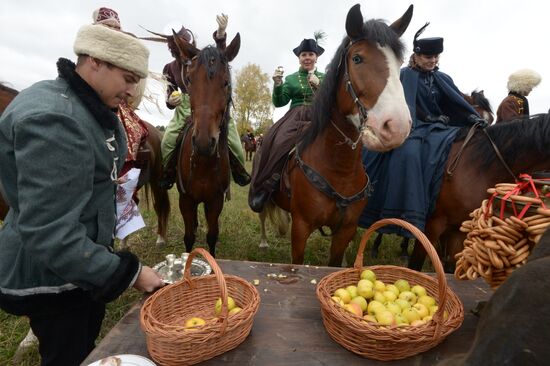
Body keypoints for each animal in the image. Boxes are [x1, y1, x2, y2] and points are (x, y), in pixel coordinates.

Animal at [172, 31, 242, 256]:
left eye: (226, 83)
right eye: (190, 80)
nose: (203, 142)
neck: (203, 163)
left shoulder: (215, 201)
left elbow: (212, 236)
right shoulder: (186, 201)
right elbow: (189, 237)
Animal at [264, 3, 414, 266]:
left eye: (400, 62)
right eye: (357, 58)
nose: (396, 127)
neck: (339, 169)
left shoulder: (346, 230)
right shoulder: (301, 227)